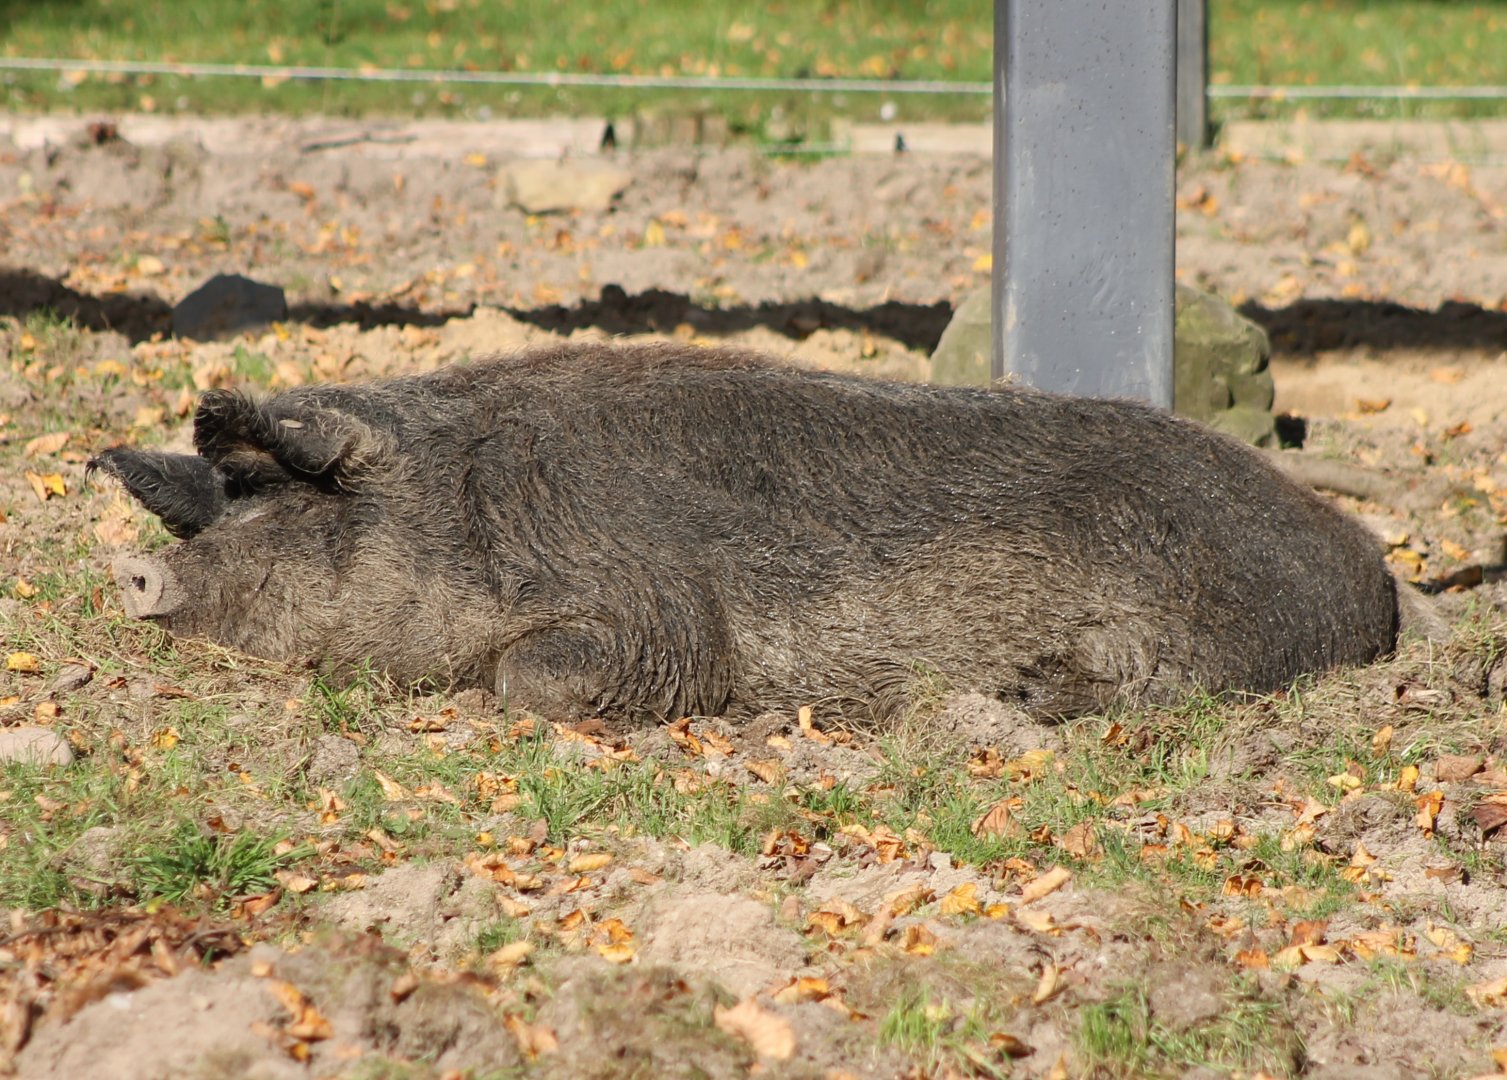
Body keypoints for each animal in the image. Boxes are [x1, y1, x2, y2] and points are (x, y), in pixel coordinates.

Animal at [90, 341, 1400, 723]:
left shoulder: (655, 618)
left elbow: (531, 679)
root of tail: (1369, 568)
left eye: (292, 503)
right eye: (217, 500)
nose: (135, 568)